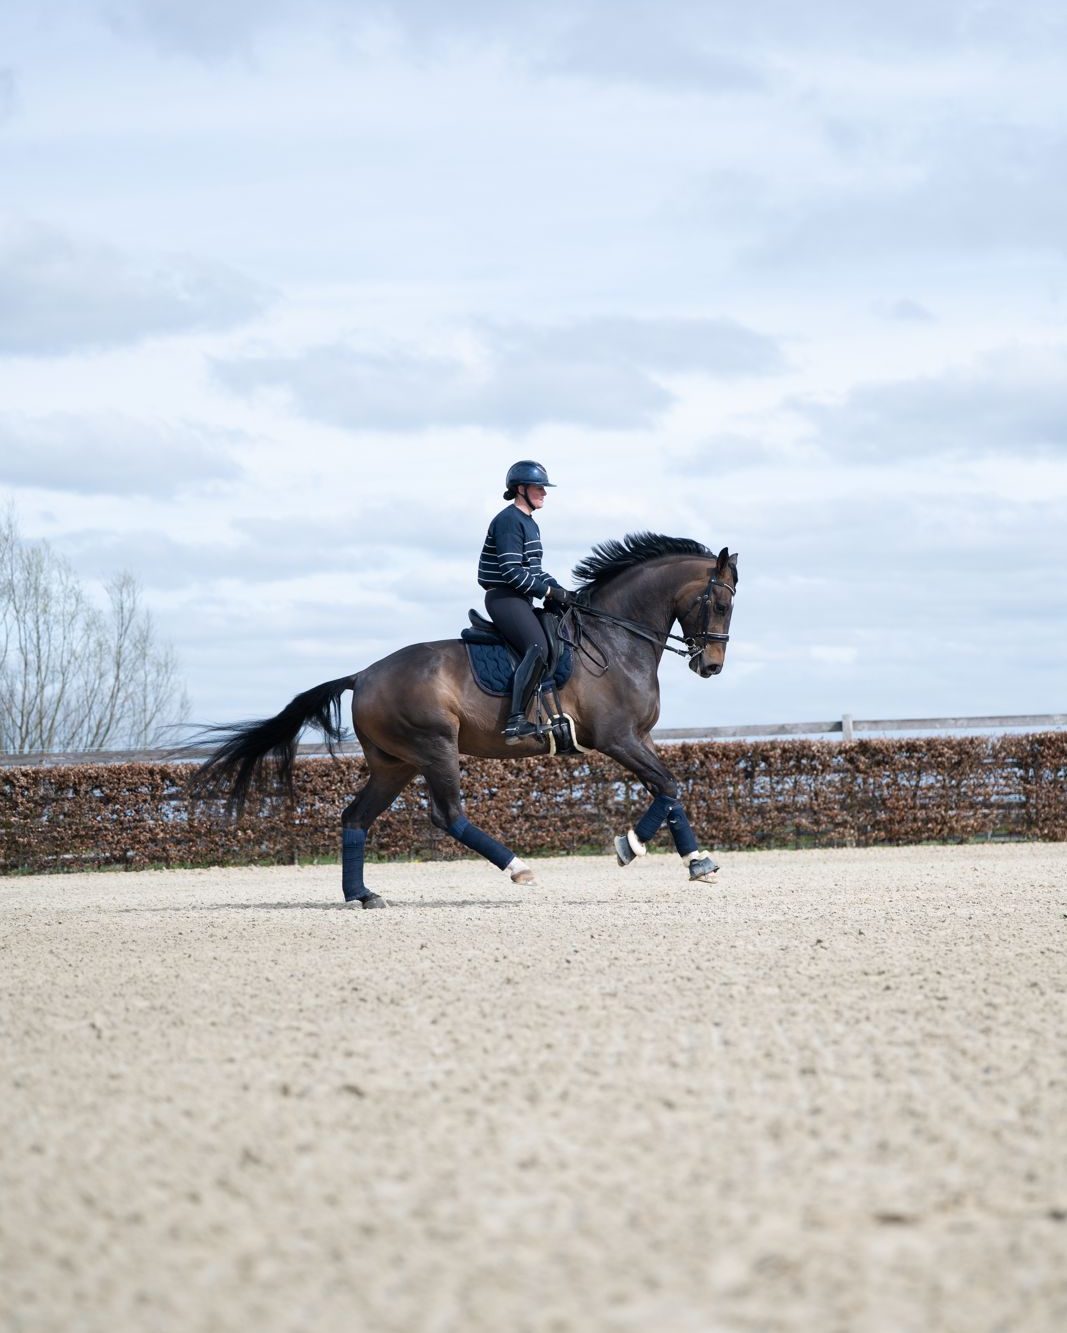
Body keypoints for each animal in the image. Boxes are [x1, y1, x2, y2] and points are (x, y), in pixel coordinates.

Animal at [192, 533, 738, 907]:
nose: (711, 666)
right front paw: (630, 846)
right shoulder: (617, 737)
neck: (615, 639)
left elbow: (669, 790)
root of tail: (363, 676)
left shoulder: (638, 737)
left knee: (356, 817)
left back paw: (362, 895)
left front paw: (698, 862)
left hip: (394, 764)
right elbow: (667, 786)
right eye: (720, 602)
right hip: (434, 748)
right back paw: (518, 868)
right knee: (448, 815)